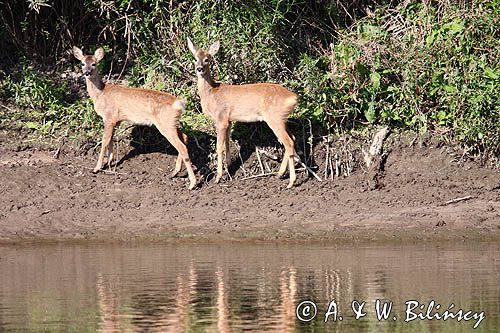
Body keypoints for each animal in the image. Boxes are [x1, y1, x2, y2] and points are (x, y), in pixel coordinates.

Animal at [72, 45, 197, 188]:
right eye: (82, 63)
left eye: (94, 63)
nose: (87, 72)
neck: (100, 93)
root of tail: (178, 103)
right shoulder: (116, 120)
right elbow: (111, 140)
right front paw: (109, 162)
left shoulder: (109, 117)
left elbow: (104, 141)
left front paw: (97, 167)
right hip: (171, 122)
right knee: (185, 137)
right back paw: (174, 172)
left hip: (165, 124)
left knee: (182, 147)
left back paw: (192, 184)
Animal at [187, 38, 296, 188]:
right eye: (195, 58)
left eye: (207, 59)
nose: (199, 69)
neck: (211, 93)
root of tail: (293, 97)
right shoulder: (229, 120)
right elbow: (227, 143)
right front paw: (229, 167)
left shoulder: (221, 118)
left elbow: (219, 146)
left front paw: (218, 177)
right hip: (282, 119)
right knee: (293, 138)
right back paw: (280, 174)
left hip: (275, 118)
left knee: (288, 142)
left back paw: (291, 182)